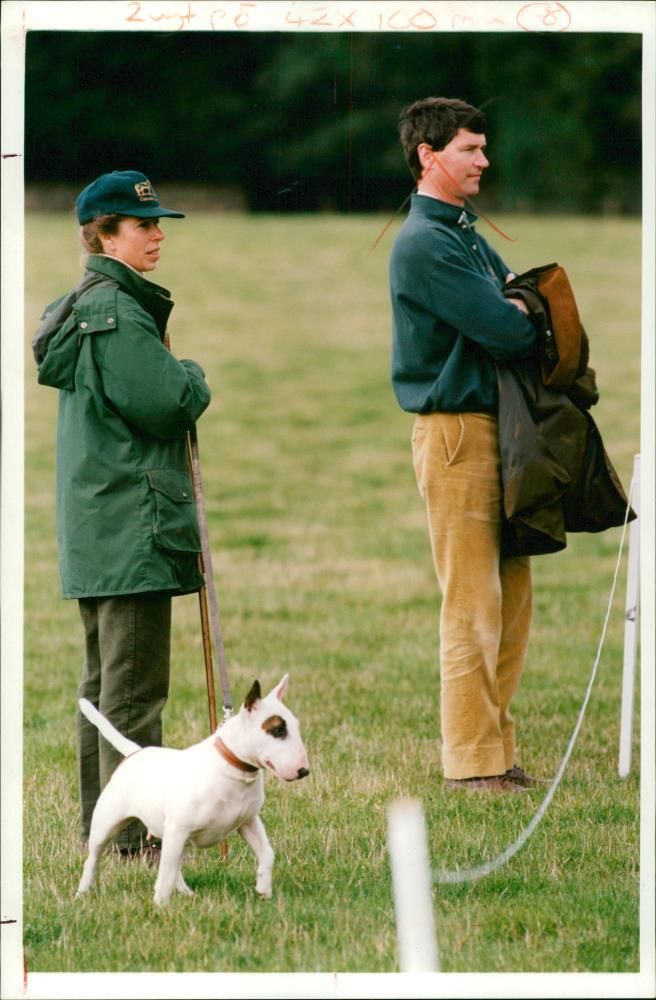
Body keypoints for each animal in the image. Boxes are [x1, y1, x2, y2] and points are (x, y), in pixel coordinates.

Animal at [73, 680, 308, 908]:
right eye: (278, 730)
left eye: (295, 726)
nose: (304, 771)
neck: (233, 768)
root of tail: (135, 753)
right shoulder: (177, 829)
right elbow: (165, 875)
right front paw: (160, 906)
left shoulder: (248, 821)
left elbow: (267, 853)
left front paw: (263, 888)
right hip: (107, 824)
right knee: (93, 859)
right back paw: (82, 892)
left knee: (175, 866)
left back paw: (187, 893)